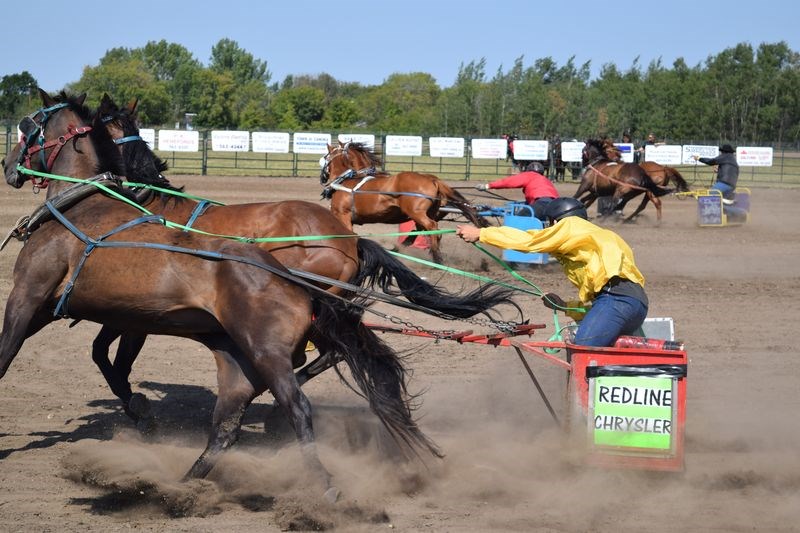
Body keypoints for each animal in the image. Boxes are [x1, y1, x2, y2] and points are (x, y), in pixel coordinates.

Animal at [0, 89, 440, 496]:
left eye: (27, 125)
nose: (8, 167)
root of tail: (347, 239)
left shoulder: (55, 302)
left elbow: (98, 359)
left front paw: (140, 410)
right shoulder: (115, 313)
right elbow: (103, 357)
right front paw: (138, 407)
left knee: (313, 369)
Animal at [318, 141, 488, 264]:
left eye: (325, 157)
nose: (323, 177)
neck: (345, 181)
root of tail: (433, 179)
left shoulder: (343, 215)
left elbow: (348, 235)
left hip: (416, 213)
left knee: (432, 228)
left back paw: (436, 257)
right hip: (425, 213)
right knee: (425, 231)